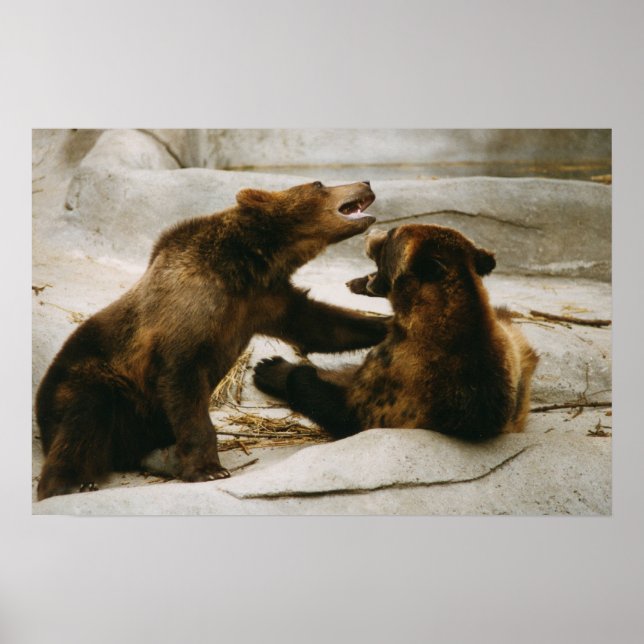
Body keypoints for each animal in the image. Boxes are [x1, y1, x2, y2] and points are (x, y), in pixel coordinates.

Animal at [35, 180, 389, 500]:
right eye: (319, 184)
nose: (365, 181)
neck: (246, 266)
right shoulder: (189, 311)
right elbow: (184, 381)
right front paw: (208, 468)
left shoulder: (263, 301)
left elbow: (320, 325)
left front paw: (385, 324)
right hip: (94, 382)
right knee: (83, 417)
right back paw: (70, 483)